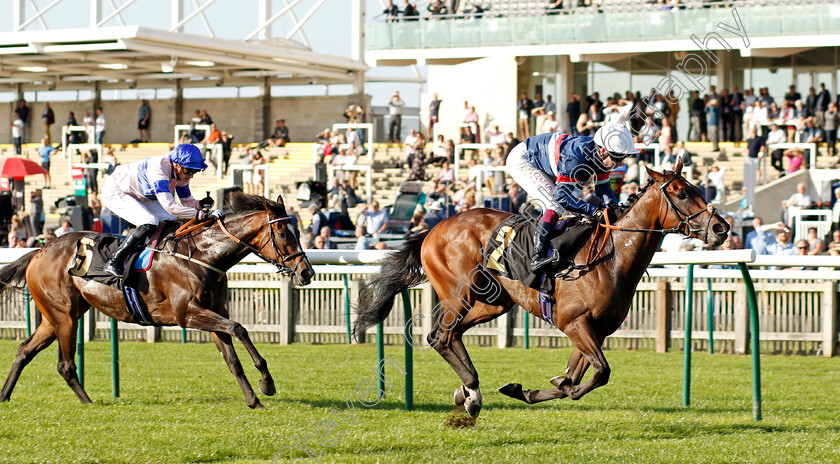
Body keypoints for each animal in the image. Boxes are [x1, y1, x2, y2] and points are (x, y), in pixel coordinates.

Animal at [0, 194, 314, 408]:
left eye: (299, 232)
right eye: (283, 233)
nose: (306, 272)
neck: (203, 254)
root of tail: (41, 250)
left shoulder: (212, 311)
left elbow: (232, 358)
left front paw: (253, 398)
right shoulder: (187, 313)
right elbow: (239, 328)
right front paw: (267, 383)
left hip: (58, 315)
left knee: (25, 350)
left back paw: (4, 396)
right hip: (63, 316)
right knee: (65, 364)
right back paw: (89, 403)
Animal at [354, 165, 728, 418]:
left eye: (697, 187)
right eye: (681, 192)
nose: (722, 228)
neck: (611, 258)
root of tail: (432, 228)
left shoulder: (594, 330)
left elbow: (577, 379)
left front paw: (530, 389)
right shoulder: (573, 323)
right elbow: (600, 372)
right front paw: (549, 386)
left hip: (494, 302)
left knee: (452, 335)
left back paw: (466, 390)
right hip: (458, 293)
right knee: (440, 337)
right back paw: (472, 392)